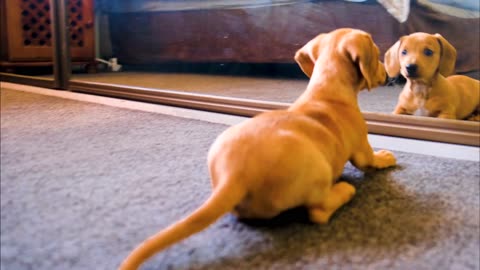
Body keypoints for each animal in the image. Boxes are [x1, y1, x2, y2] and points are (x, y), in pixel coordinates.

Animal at [120, 29, 398, 270]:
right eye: (376, 52)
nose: (388, 76)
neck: (327, 88)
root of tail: (234, 175)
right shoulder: (361, 147)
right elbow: (370, 160)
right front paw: (385, 156)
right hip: (318, 171)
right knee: (318, 211)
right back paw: (343, 191)